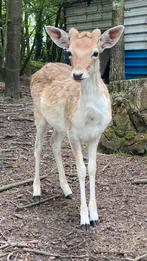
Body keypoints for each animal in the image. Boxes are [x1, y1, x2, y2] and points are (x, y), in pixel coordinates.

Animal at [30, 24, 124, 228]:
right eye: (70, 52)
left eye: (95, 52)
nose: (77, 74)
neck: (91, 117)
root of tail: (38, 70)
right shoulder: (74, 134)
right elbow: (81, 170)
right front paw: (84, 219)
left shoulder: (96, 135)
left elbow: (92, 168)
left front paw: (95, 216)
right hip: (39, 115)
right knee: (38, 147)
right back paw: (36, 191)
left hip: (60, 125)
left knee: (54, 143)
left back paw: (67, 189)